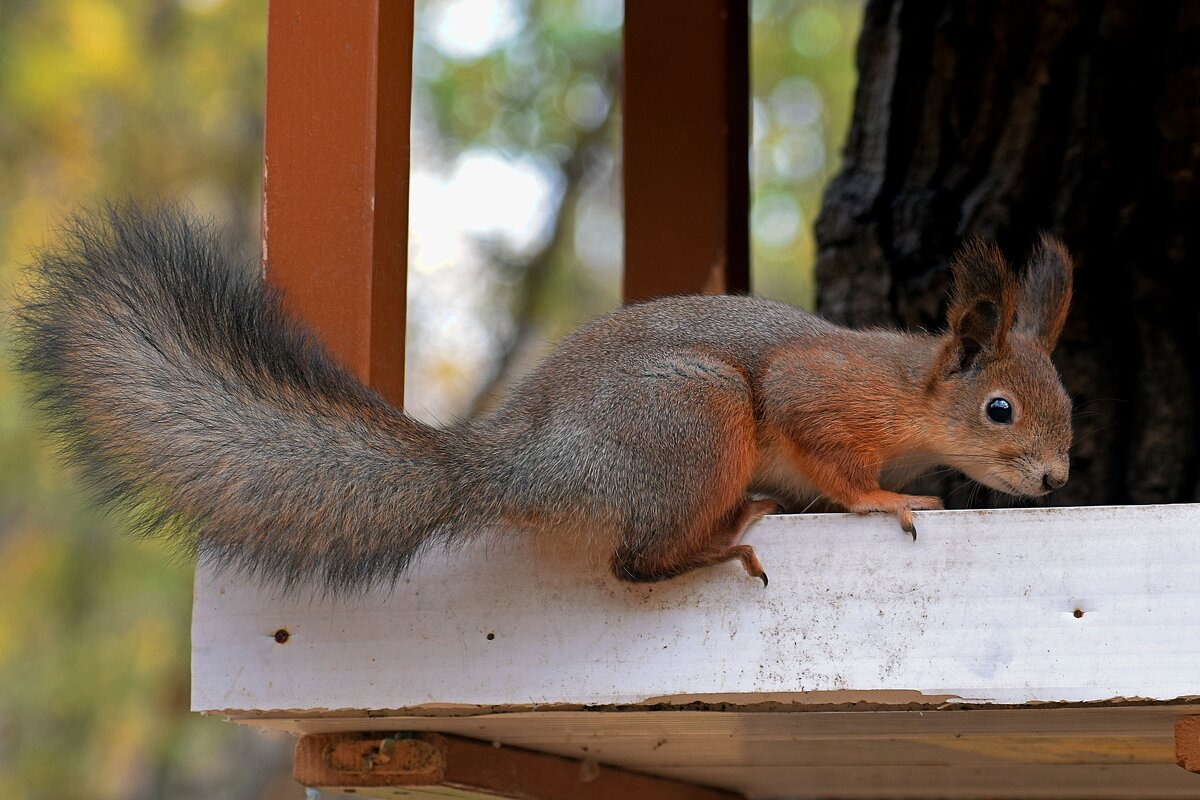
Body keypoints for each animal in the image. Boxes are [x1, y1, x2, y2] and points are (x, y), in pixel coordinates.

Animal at [16, 206, 1070, 594]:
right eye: (1001, 410)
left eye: (1063, 396)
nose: (1059, 481)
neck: (908, 390)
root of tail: (523, 462)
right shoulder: (819, 393)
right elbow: (831, 455)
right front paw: (887, 499)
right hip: (698, 417)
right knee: (634, 565)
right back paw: (724, 541)